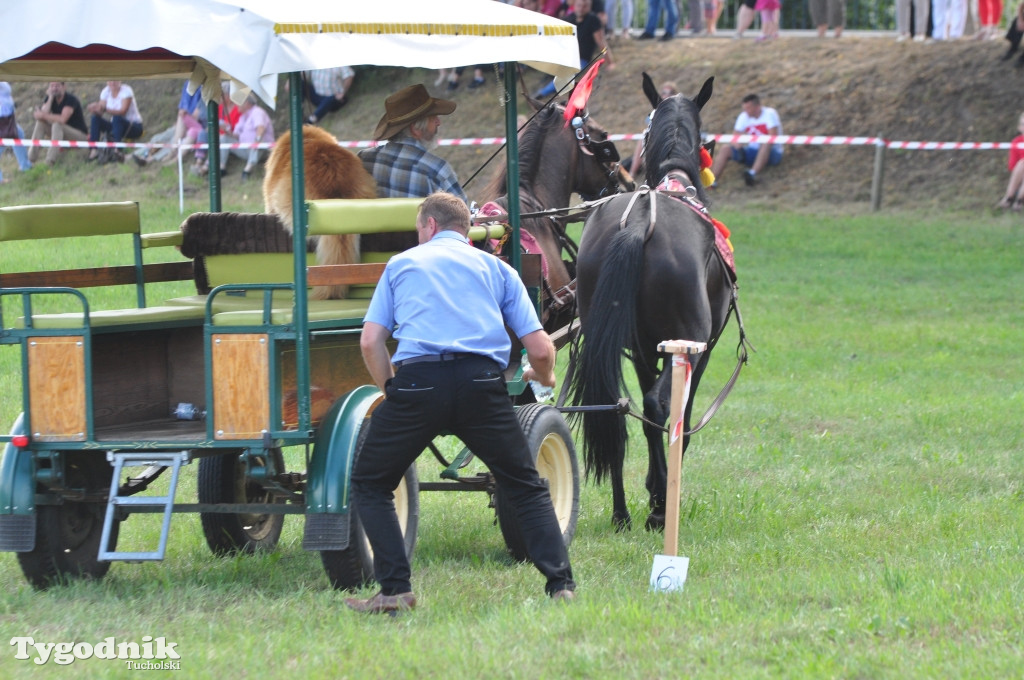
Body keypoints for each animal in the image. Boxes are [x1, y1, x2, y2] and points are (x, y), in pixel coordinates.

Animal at [569, 74, 737, 532]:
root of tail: (639, 224)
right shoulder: (700, 350)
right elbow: (682, 414)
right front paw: (662, 491)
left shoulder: (644, 351)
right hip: (689, 341)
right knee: (660, 407)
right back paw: (659, 507)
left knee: (614, 406)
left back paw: (621, 512)